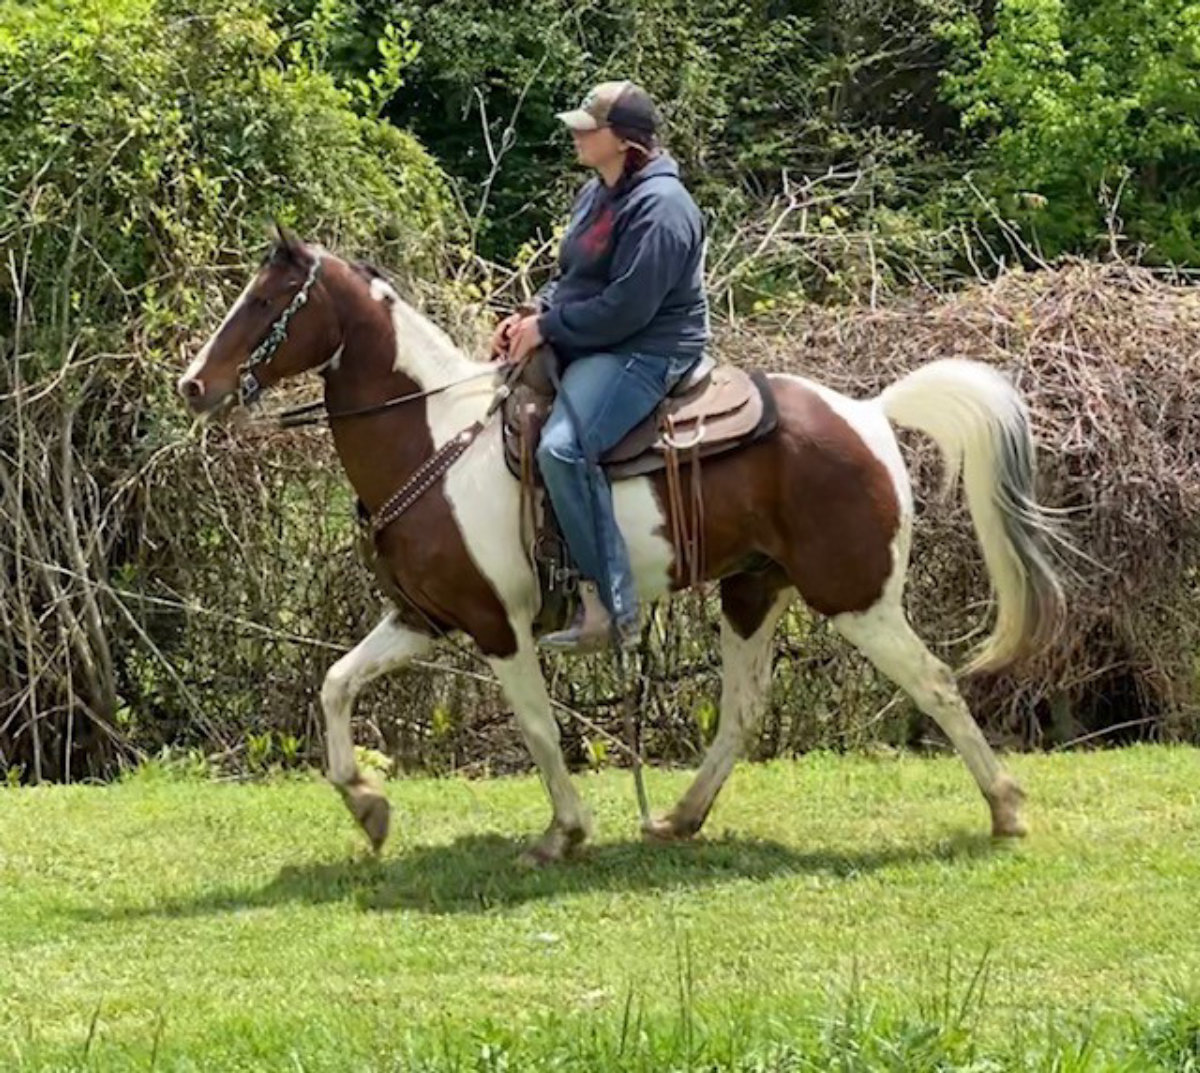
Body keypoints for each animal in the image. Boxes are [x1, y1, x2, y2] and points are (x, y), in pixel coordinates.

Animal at [177, 230, 1066, 863]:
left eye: (266, 300)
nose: (193, 385)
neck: (435, 439)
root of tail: (871, 412)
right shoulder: (424, 617)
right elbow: (335, 683)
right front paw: (367, 806)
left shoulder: (500, 626)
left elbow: (538, 726)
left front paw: (562, 831)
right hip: (753, 591)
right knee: (743, 707)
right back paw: (680, 816)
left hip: (856, 597)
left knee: (936, 683)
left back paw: (1006, 807)